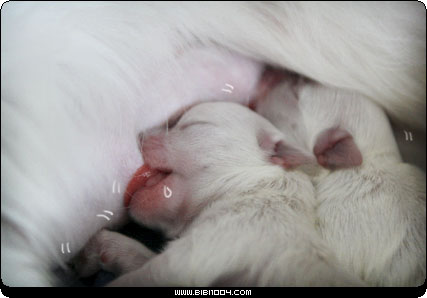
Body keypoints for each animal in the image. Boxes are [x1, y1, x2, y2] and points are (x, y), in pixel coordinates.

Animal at [75, 102, 362, 286]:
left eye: (190, 123)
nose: (140, 134)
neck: (250, 191)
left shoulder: (197, 252)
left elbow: (137, 277)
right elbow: (140, 256)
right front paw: (100, 246)